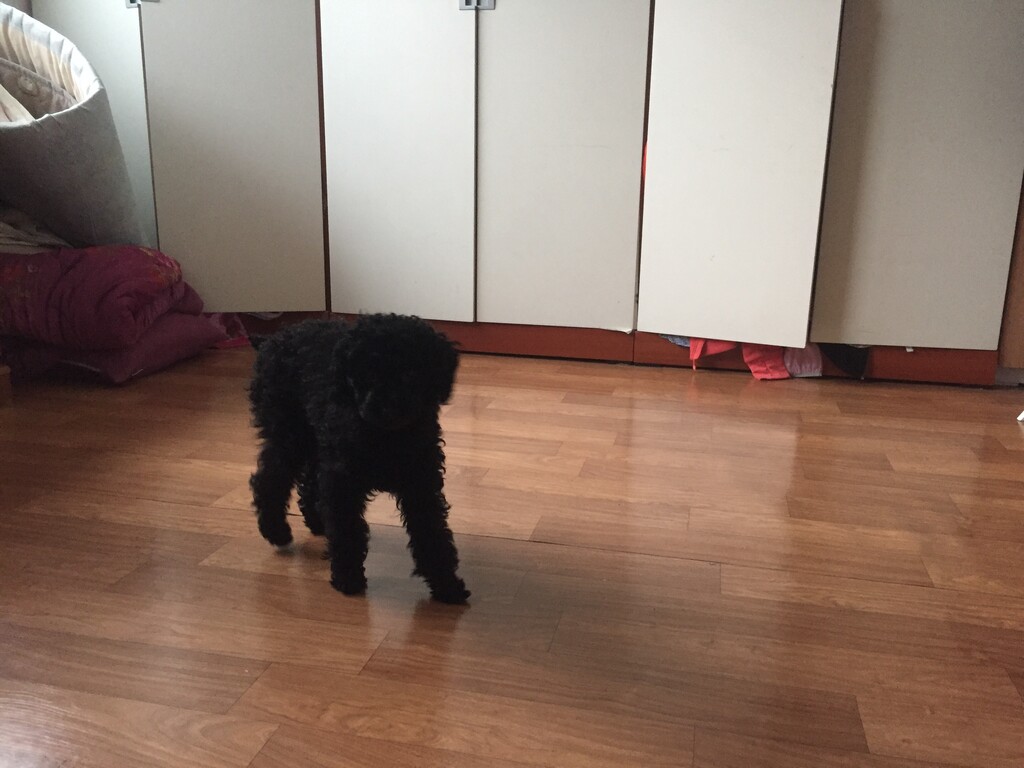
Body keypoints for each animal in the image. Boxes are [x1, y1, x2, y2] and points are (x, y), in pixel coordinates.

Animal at [247, 314, 470, 604]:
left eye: (410, 373)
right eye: (365, 375)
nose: (386, 407)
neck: (386, 437)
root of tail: (272, 338)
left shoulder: (420, 486)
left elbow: (432, 534)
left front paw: (447, 585)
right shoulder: (344, 483)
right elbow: (347, 532)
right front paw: (348, 578)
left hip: (316, 441)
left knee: (309, 482)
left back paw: (317, 522)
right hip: (289, 435)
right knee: (269, 479)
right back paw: (275, 530)